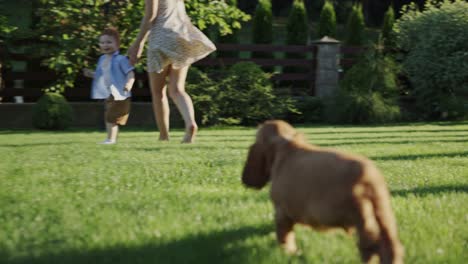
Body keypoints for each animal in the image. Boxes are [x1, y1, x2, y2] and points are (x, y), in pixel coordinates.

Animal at [241, 120, 402, 262]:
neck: (287, 145)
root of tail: (370, 177)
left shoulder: (281, 212)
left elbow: (285, 236)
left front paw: (287, 253)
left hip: (362, 218)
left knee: (370, 246)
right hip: (384, 215)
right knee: (392, 246)